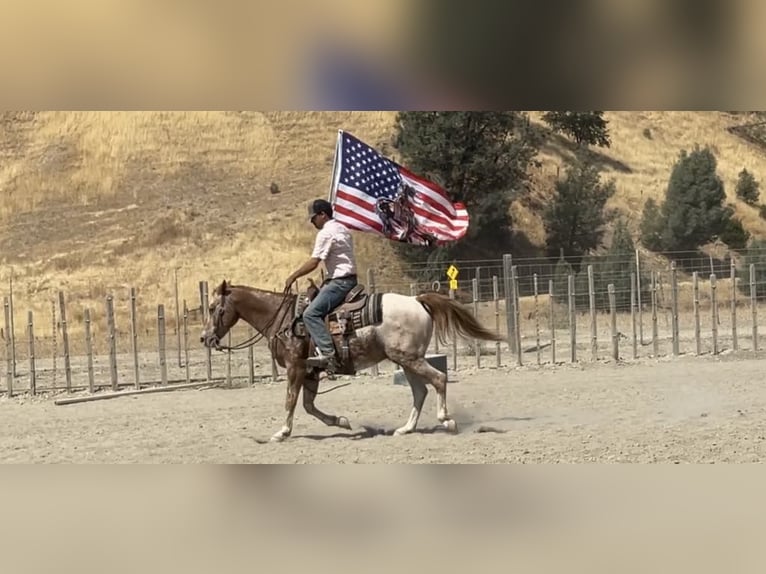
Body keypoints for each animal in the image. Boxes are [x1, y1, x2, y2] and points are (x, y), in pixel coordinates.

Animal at [200, 279, 505, 442]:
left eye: (214, 308)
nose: (205, 338)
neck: (284, 318)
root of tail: (417, 300)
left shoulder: (296, 367)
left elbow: (290, 401)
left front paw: (282, 432)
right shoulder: (310, 371)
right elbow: (309, 406)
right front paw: (342, 421)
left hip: (409, 358)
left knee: (438, 379)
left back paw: (447, 422)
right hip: (406, 360)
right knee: (420, 391)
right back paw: (406, 429)